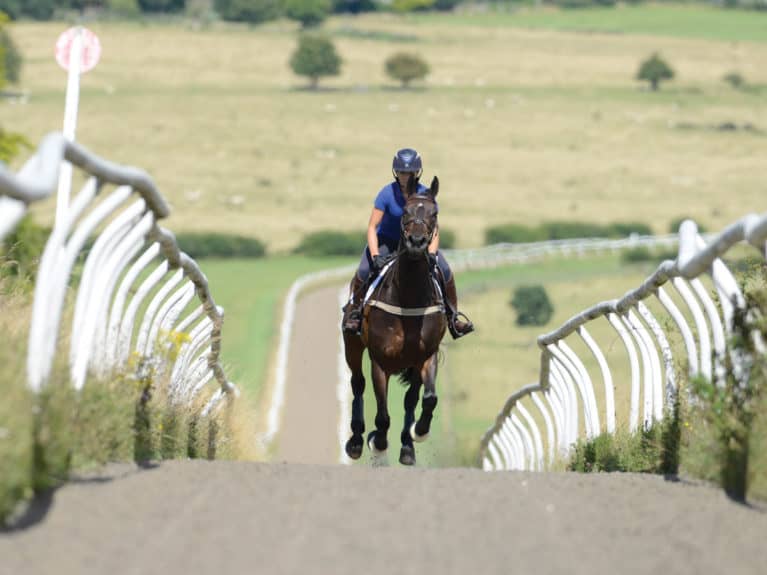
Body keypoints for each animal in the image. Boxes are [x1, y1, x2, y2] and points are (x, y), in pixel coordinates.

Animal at [340, 176, 444, 468]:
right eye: (406, 212)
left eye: (434, 214)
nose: (417, 241)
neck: (408, 296)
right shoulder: (380, 361)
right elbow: (383, 413)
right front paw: (377, 443)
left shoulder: (426, 356)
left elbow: (428, 398)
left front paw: (418, 433)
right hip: (352, 346)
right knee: (358, 383)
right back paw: (356, 441)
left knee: (411, 400)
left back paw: (407, 446)